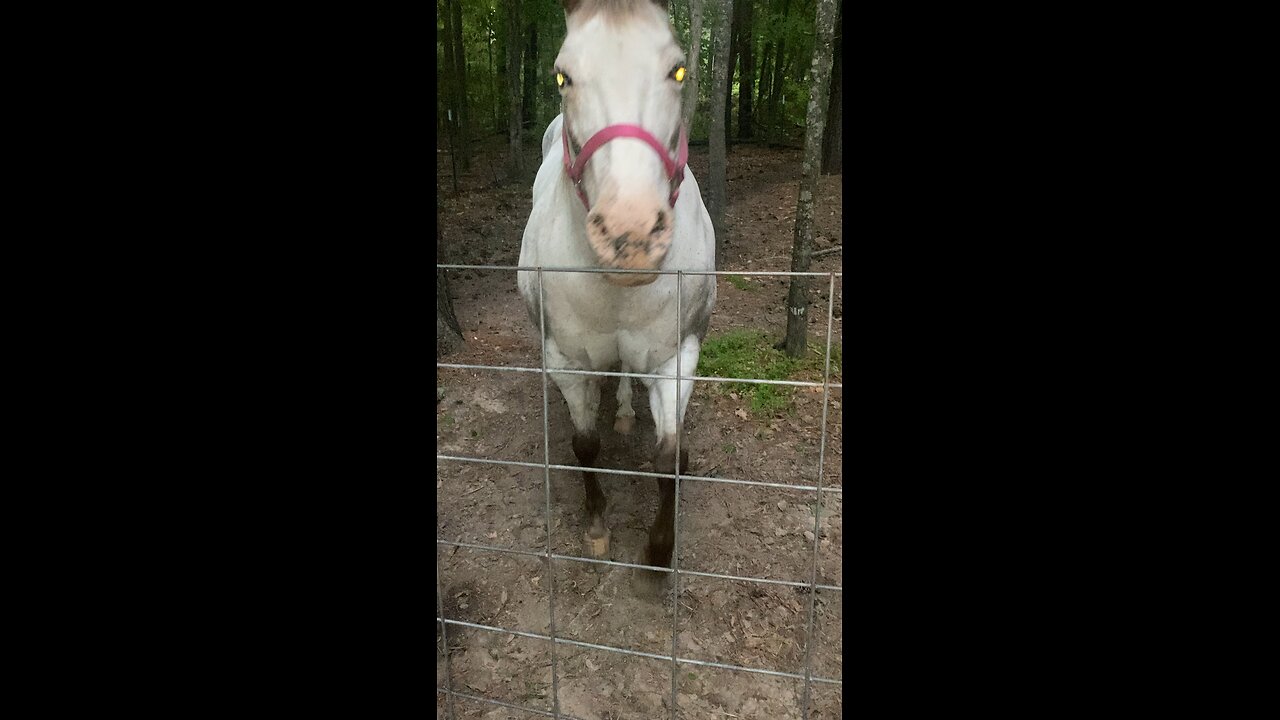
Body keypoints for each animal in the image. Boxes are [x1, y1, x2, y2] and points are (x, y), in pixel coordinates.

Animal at [519, 0, 721, 571]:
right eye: (562, 76)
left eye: (678, 70)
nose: (630, 235)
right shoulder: (565, 359)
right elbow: (585, 444)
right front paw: (596, 525)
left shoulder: (678, 357)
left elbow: (671, 457)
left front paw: (657, 553)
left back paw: (629, 413)